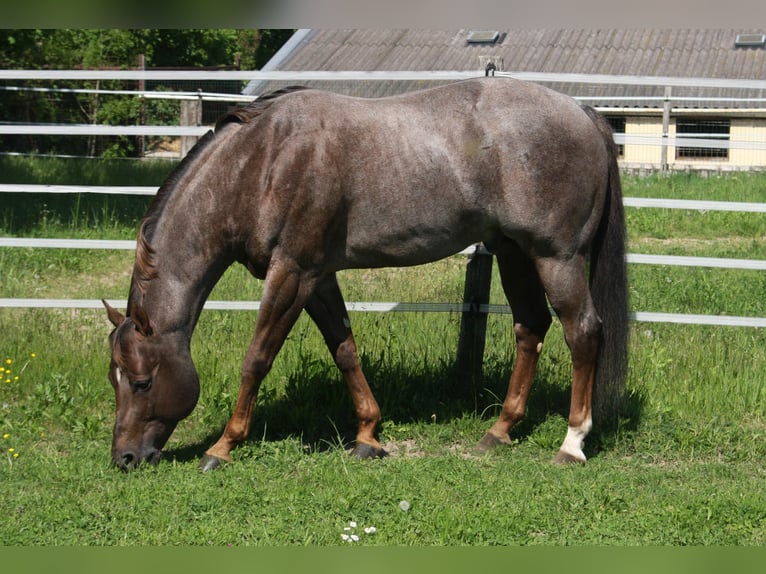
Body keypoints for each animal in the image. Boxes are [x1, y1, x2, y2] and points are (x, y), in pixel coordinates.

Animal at [103, 76, 628, 472]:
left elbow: (257, 358)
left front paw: (222, 446)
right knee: (530, 327)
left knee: (582, 332)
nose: (125, 457)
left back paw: (572, 443)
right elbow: (345, 350)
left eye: (143, 382)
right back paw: (499, 431)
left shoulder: (291, 273)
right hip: (514, 252)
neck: (262, 161)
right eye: (114, 380)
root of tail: (583, 112)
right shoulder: (317, 277)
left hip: (556, 257)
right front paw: (368, 435)